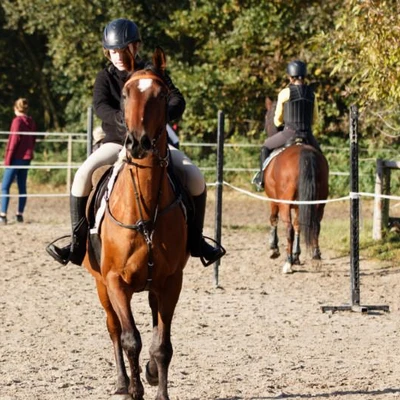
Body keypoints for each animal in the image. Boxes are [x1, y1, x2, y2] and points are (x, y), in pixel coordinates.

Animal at [83, 47, 189, 400]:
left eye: (162, 94)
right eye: (127, 92)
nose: (138, 143)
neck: (144, 211)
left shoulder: (170, 282)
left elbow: (162, 345)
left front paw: (158, 387)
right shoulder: (115, 281)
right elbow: (131, 339)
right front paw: (134, 389)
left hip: (154, 285)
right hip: (101, 285)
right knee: (114, 328)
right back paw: (121, 381)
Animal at [262, 97, 328, 274]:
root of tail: (305, 151)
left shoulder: (274, 200)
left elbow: (274, 219)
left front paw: (274, 249)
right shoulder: (300, 205)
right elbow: (300, 226)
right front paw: (297, 256)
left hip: (285, 204)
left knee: (289, 228)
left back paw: (287, 263)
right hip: (319, 203)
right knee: (315, 226)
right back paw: (315, 258)